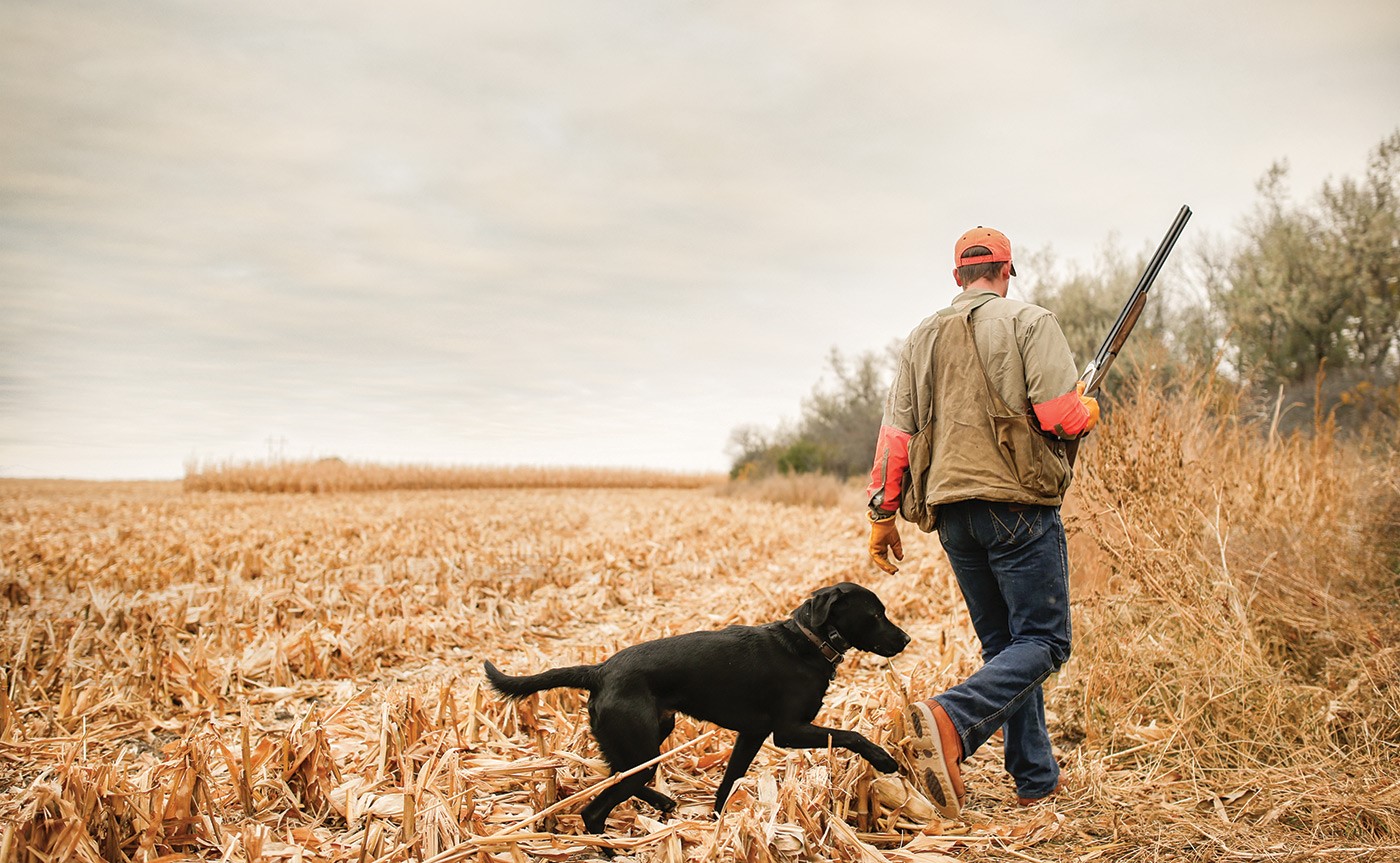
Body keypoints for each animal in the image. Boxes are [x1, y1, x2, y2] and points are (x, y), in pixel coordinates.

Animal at [481, 582, 907, 834]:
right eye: (876, 614)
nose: (905, 639)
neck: (807, 641)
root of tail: (600, 670)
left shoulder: (752, 734)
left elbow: (729, 781)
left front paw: (719, 824)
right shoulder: (789, 731)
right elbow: (851, 734)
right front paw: (884, 760)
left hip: (644, 741)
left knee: (616, 776)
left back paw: (663, 802)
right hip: (640, 747)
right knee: (594, 810)